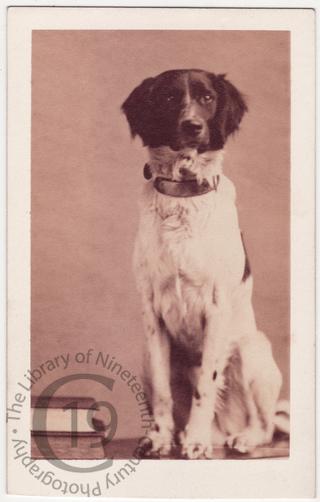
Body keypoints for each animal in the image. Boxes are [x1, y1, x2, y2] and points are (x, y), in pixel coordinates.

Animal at [121, 68, 288, 456]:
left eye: (208, 98)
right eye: (168, 97)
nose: (193, 125)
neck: (183, 198)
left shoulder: (217, 309)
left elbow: (205, 386)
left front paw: (195, 441)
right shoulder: (151, 314)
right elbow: (164, 393)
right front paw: (160, 437)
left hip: (252, 349)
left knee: (266, 425)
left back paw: (238, 438)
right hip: (143, 358)